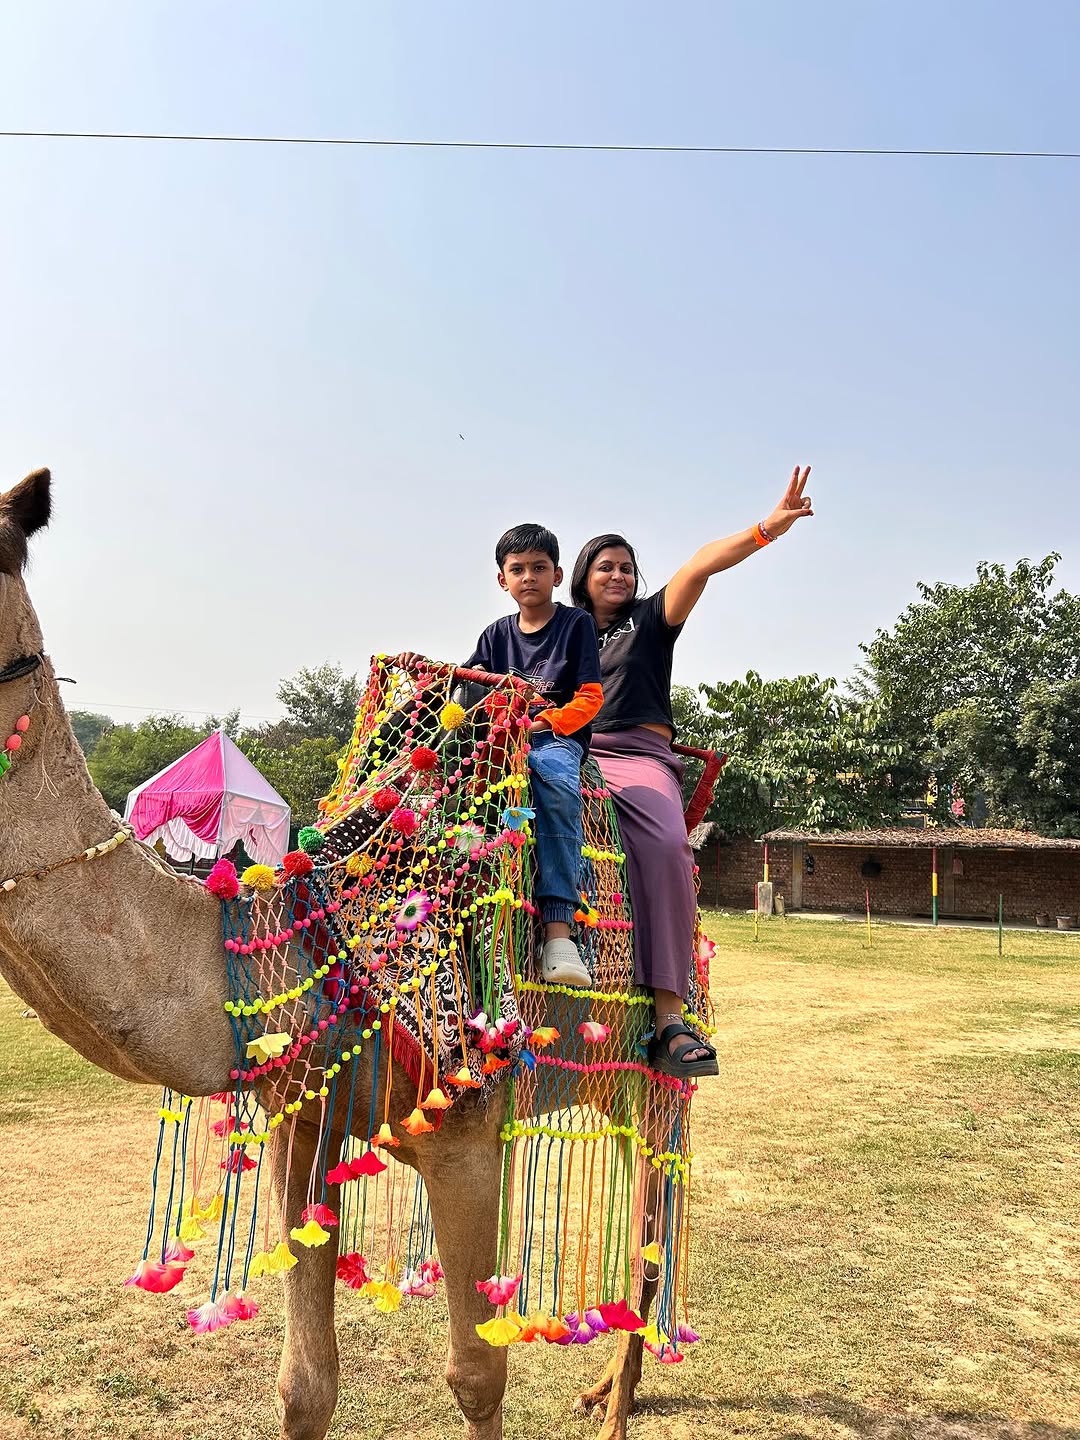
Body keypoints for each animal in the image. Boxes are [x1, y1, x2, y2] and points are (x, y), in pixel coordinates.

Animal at [0, 467, 663, 1440]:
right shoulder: (300, 1120)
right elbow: (305, 1383)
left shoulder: (467, 1131)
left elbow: (477, 1375)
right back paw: (605, 1390)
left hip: (657, 1069)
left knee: (658, 1220)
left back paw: (614, 1408)